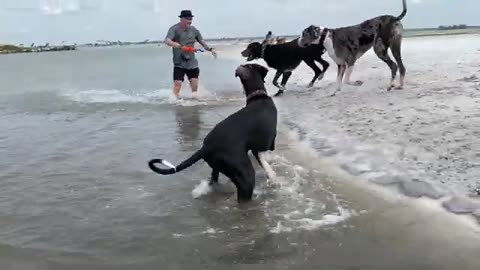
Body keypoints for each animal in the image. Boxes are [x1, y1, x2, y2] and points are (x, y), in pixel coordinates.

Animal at [149, 63, 278, 202]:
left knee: (213, 181)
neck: (258, 96)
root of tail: (206, 147)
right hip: (245, 175)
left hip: (217, 167)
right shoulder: (266, 143)